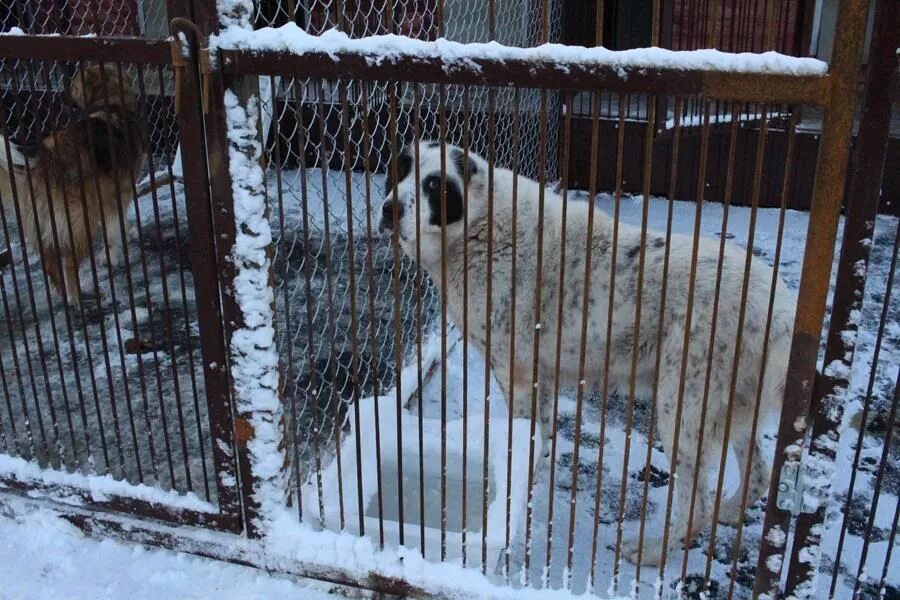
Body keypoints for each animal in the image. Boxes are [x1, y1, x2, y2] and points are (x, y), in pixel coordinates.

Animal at [0, 64, 144, 304]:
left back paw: (63, 293)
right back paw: (75, 297)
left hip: (42, 224)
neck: (111, 102)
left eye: (74, 85)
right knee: (68, 264)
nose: (61, 96)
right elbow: (115, 229)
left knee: (49, 263)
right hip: (82, 221)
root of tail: (47, 158)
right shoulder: (119, 193)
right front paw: (114, 254)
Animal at [380, 139, 796, 564]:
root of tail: (778, 307)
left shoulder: (515, 374)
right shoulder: (540, 375)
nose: (389, 209)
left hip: (682, 407)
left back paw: (651, 551)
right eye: (400, 171)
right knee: (757, 472)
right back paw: (728, 512)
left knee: (695, 503)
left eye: (435, 185)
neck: (480, 228)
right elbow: (542, 433)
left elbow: (524, 434)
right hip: (732, 408)